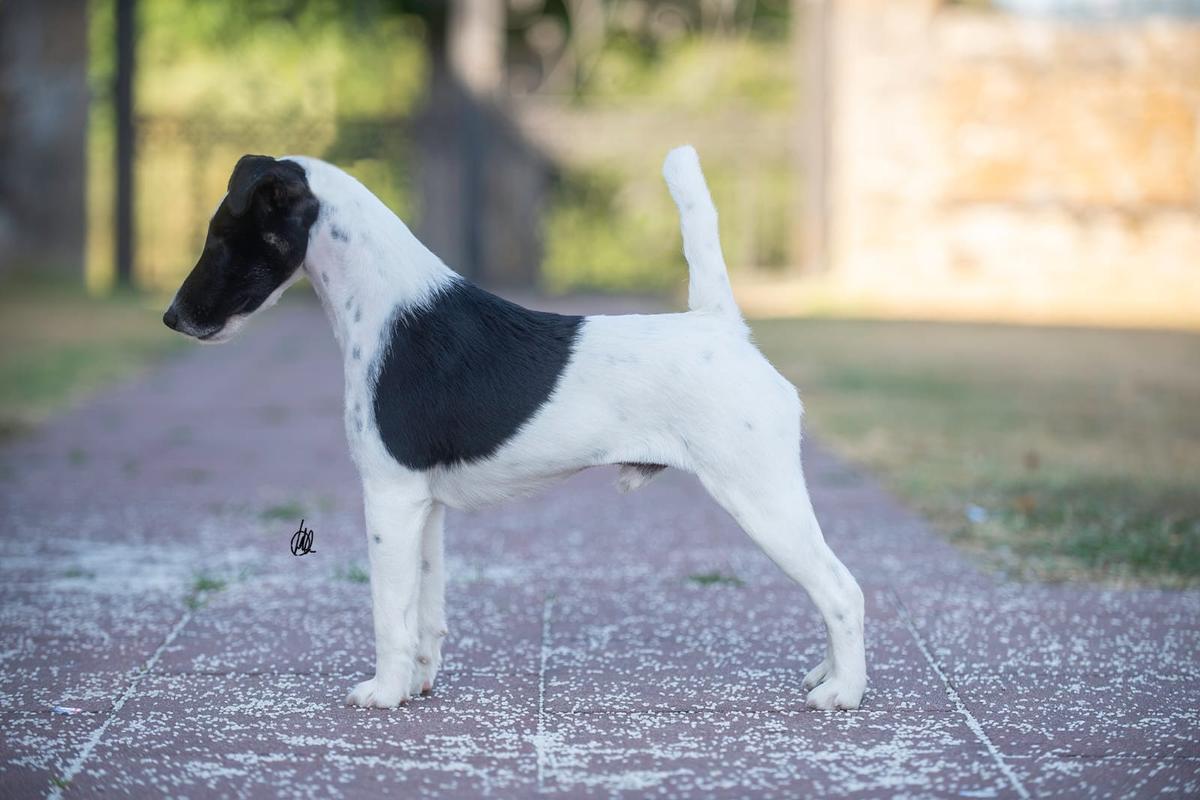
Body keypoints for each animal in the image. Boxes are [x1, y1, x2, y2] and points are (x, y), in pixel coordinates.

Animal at [164, 146, 868, 710]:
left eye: (221, 235)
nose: (171, 318)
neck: (384, 302)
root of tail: (723, 329)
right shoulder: (423, 506)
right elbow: (426, 610)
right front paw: (417, 685)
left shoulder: (389, 495)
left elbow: (389, 612)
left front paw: (384, 694)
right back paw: (824, 674)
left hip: (761, 499)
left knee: (842, 590)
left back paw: (843, 693)